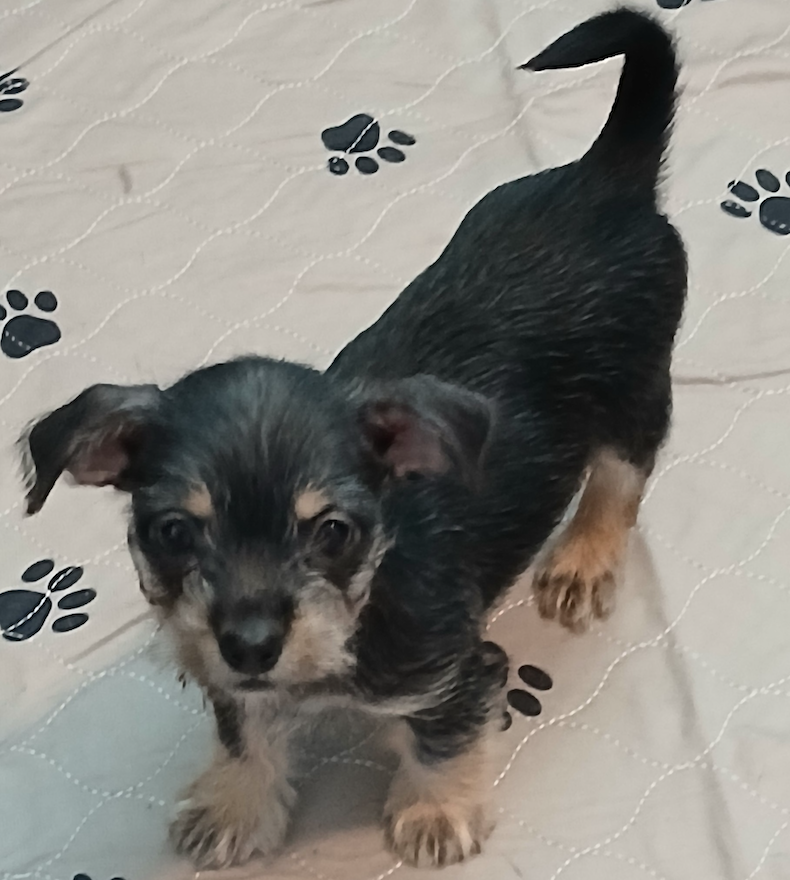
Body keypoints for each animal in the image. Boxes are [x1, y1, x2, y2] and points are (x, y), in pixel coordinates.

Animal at [18, 6, 688, 868]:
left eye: (332, 531)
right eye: (172, 532)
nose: (250, 643)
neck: (368, 598)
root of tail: (607, 179)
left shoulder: (460, 671)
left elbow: (441, 739)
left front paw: (436, 812)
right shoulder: (235, 682)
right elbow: (243, 727)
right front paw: (236, 805)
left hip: (636, 389)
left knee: (621, 474)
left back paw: (583, 559)